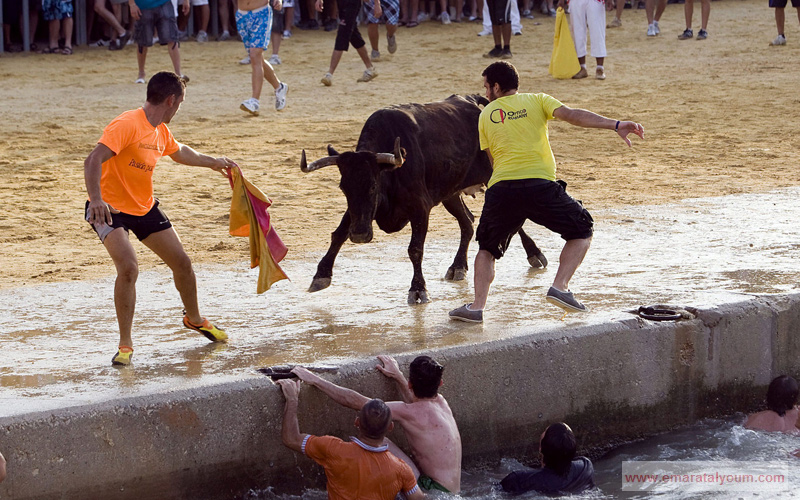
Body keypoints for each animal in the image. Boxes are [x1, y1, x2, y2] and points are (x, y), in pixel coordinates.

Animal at [302, 94, 552, 304]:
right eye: (343, 188)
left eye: (373, 185)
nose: (360, 235)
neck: (392, 171)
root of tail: (472, 101)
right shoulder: (359, 211)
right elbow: (338, 234)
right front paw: (321, 275)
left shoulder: (419, 208)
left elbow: (415, 249)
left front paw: (418, 289)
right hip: (451, 194)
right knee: (467, 222)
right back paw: (458, 266)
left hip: (495, 178)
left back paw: (535, 254)